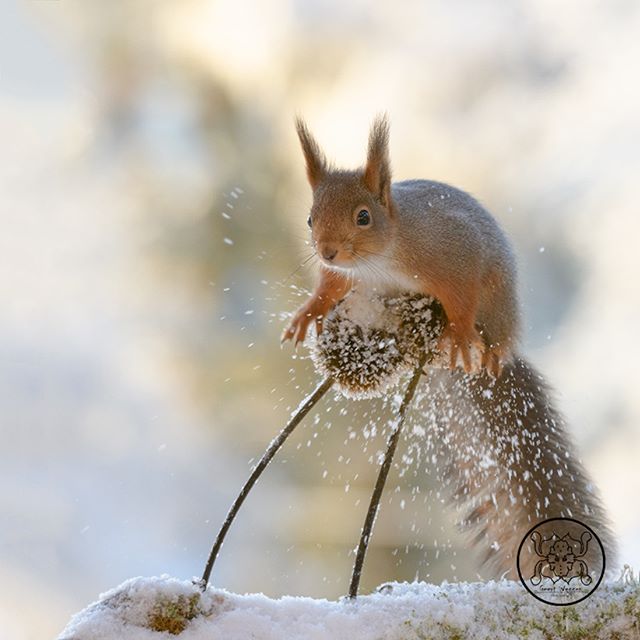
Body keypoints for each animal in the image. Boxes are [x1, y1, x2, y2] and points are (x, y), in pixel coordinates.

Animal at [284, 115, 520, 378]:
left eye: (363, 217)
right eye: (310, 219)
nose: (328, 253)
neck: (380, 260)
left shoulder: (456, 252)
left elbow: (461, 295)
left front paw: (459, 334)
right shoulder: (349, 271)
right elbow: (332, 285)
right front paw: (311, 309)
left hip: (498, 304)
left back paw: (492, 356)